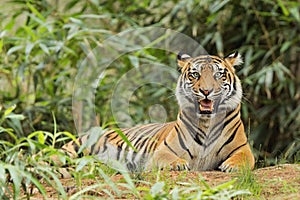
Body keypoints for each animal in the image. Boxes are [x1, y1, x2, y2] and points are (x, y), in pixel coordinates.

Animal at [59, 51, 255, 172]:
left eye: (218, 75)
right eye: (195, 75)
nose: (206, 91)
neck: (207, 122)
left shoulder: (243, 148)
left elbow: (244, 158)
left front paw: (232, 166)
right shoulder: (163, 150)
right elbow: (168, 158)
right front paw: (178, 164)